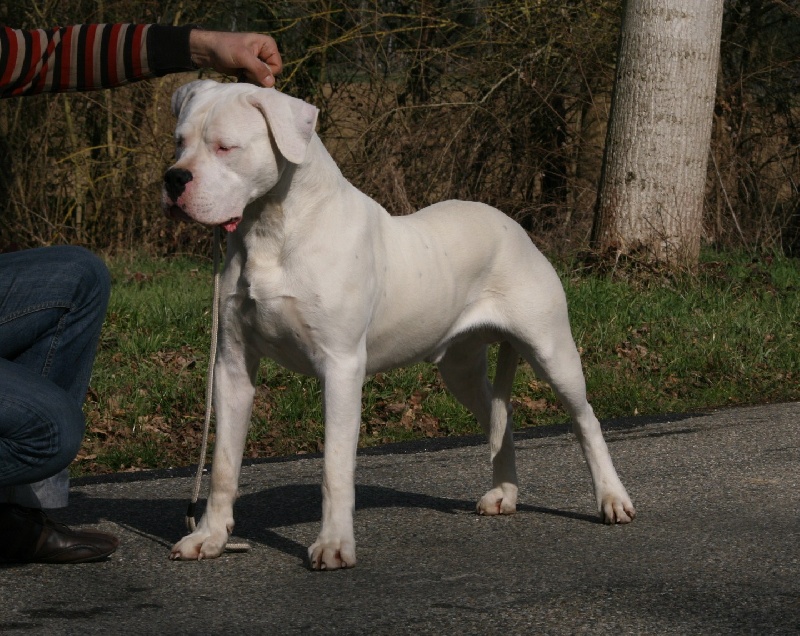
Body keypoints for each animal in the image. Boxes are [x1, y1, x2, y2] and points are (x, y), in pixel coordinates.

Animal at [163, 80, 635, 569]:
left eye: (226, 147)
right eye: (179, 142)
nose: (174, 179)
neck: (272, 228)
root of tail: (515, 227)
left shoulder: (340, 367)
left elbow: (335, 467)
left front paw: (334, 544)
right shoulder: (232, 365)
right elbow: (222, 464)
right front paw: (209, 536)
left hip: (551, 350)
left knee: (585, 420)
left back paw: (612, 499)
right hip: (460, 369)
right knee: (499, 419)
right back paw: (504, 493)